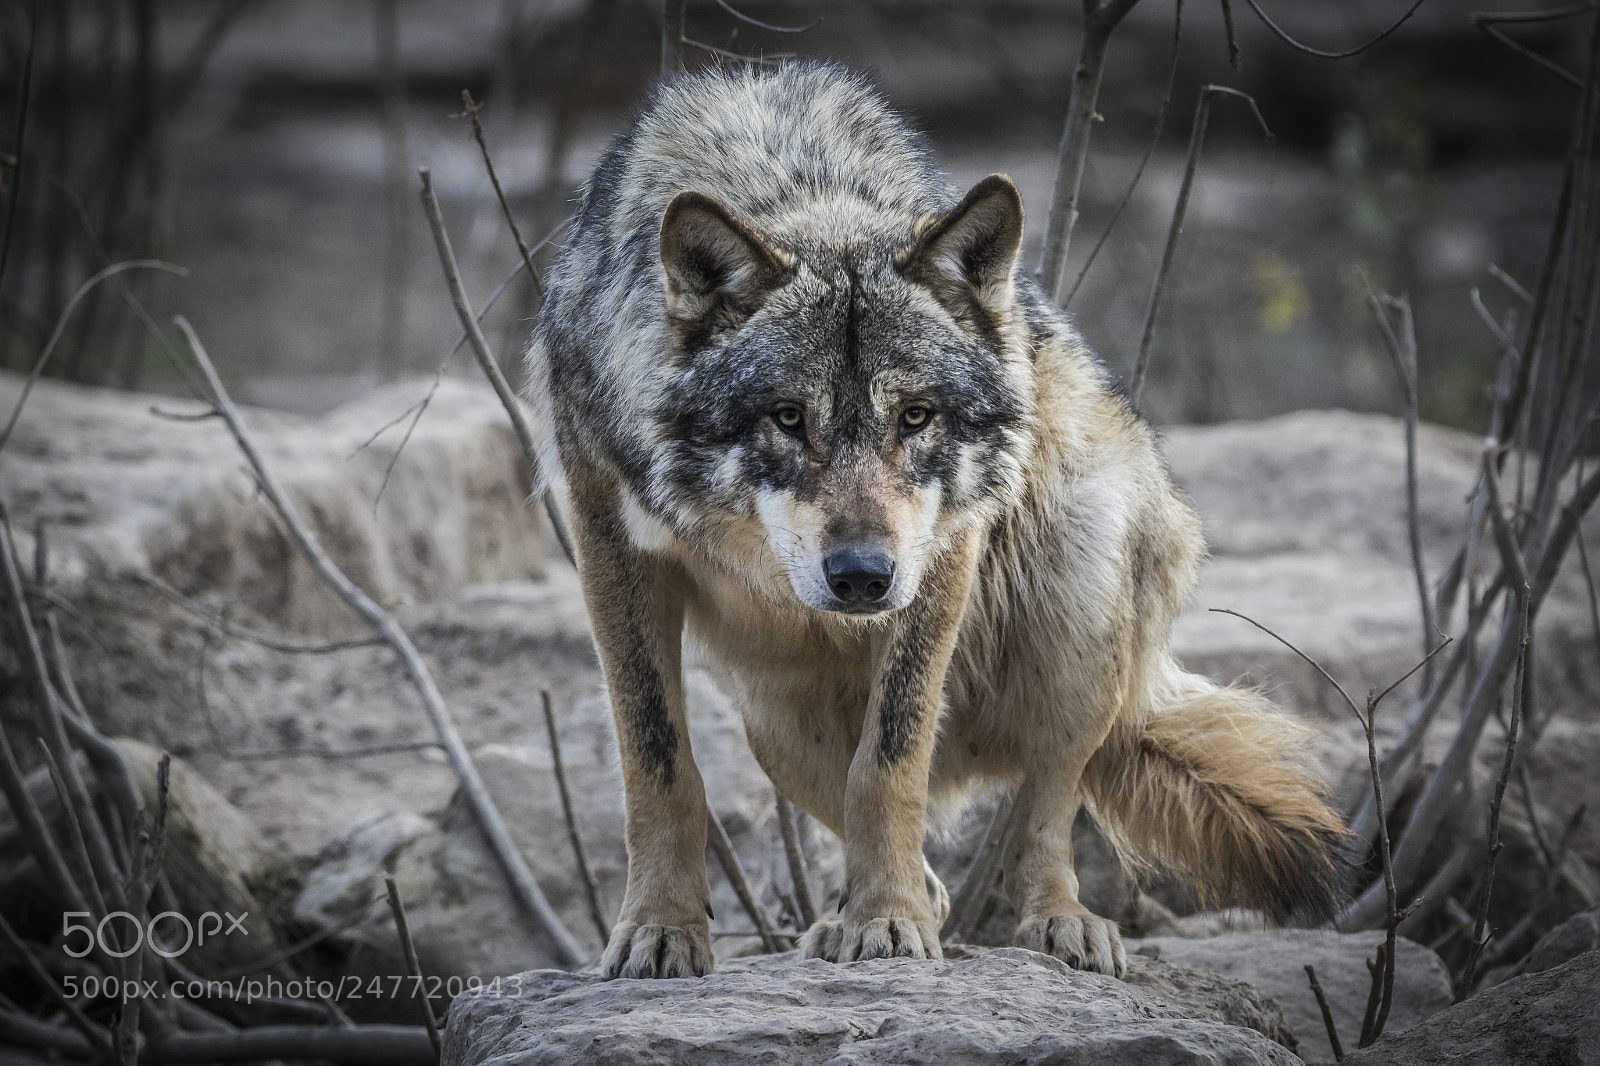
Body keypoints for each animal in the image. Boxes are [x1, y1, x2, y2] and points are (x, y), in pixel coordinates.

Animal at [525, 62, 1345, 980]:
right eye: (787, 418)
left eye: (915, 417)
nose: (861, 577)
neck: (796, 177)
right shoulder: (606, 538)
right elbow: (659, 762)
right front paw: (661, 929)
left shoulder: (944, 549)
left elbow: (890, 761)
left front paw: (888, 922)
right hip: (774, 721)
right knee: (902, 833)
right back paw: (860, 914)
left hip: (1079, 603)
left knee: (1046, 804)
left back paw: (1058, 922)